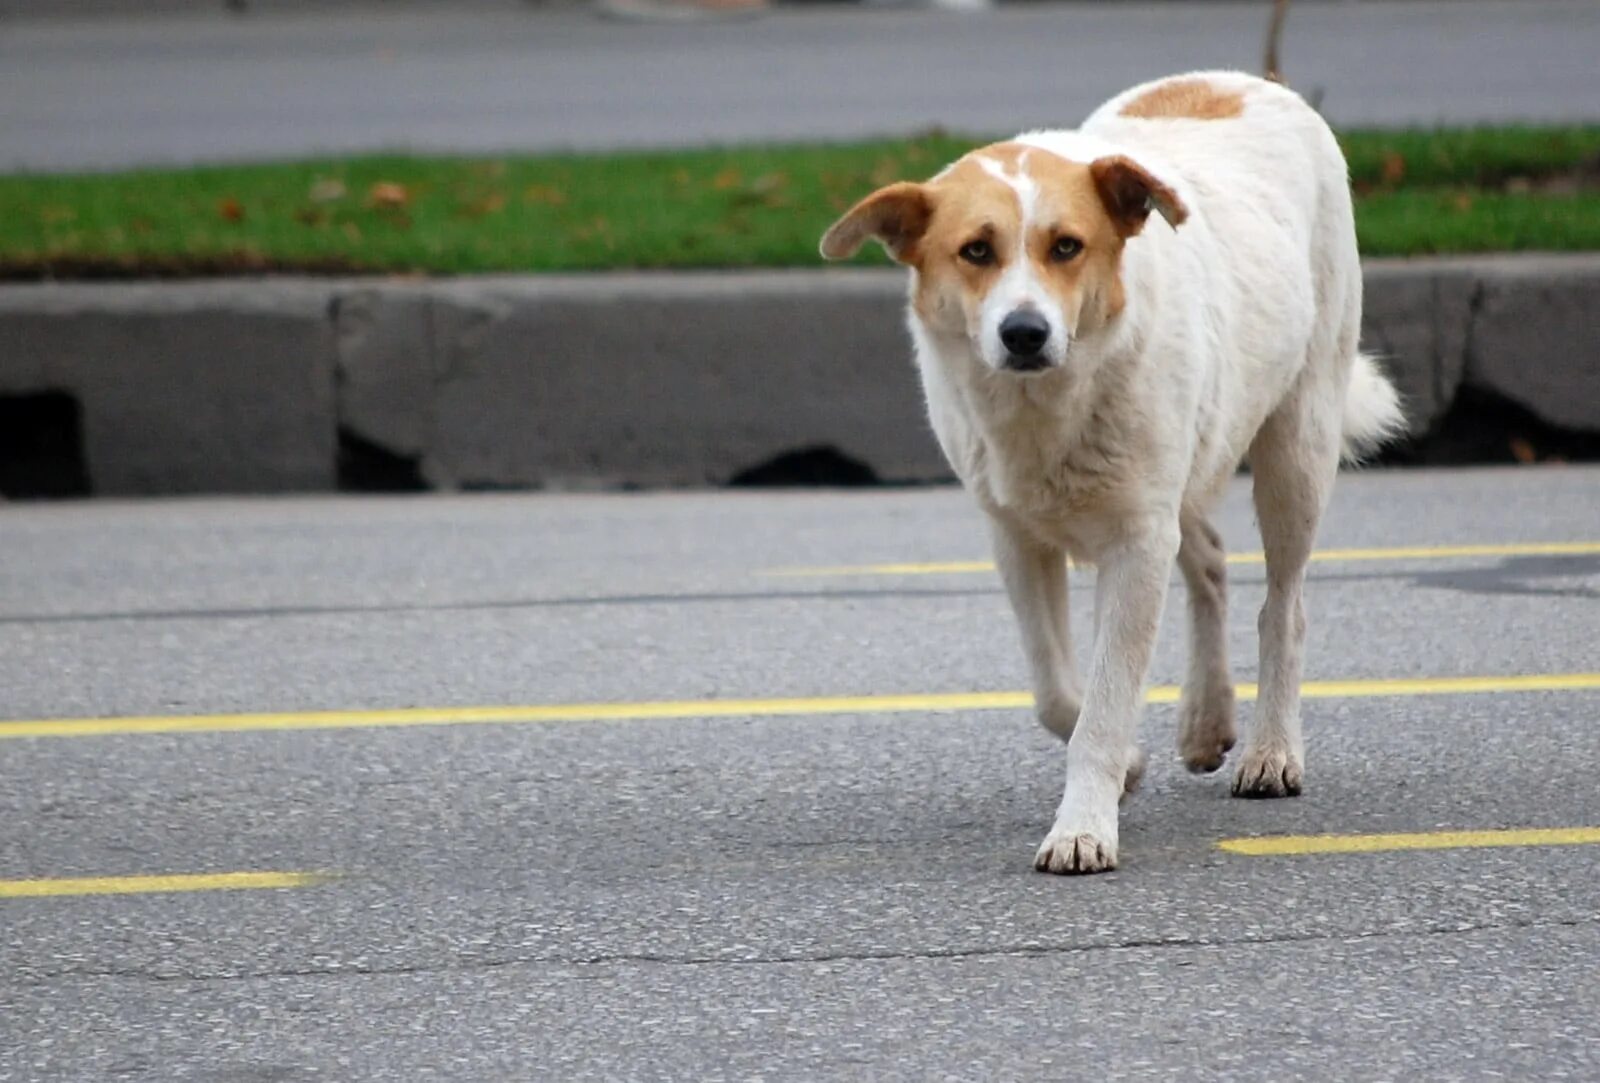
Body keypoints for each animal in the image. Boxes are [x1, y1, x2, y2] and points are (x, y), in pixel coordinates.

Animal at [825, 71, 1401, 870]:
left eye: (1067, 246)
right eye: (976, 250)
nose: (1025, 332)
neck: (1047, 408)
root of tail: (1243, 78)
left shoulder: (1135, 542)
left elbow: (1101, 704)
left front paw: (1083, 827)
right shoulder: (1018, 540)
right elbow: (1058, 695)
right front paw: (1127, 765)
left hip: (1297, 445)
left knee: (1284, 606)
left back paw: (1271, 751)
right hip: (1186, 465)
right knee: (1209, 561)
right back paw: (1205, 720)